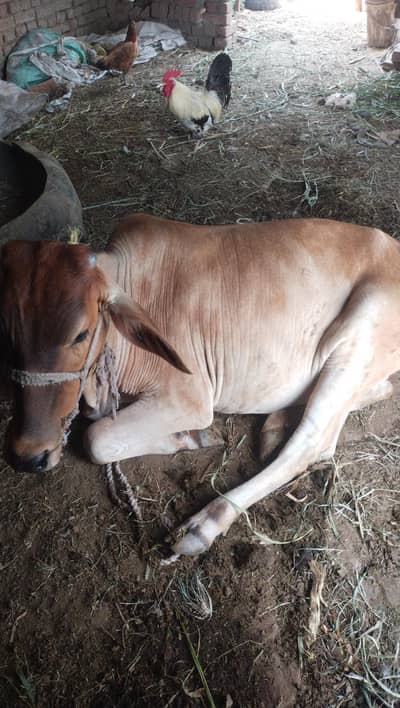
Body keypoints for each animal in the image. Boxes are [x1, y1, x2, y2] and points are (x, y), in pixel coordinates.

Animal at [1, 214, 400, 557]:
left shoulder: (190, 398)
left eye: (81, 334)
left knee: (313, 442)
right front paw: (188, 438)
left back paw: (204, 524)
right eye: (9, 333)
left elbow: (97, 439)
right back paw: (274, 426)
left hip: (358, 333)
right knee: (375, 394)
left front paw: (189, 437)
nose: (28, 456)